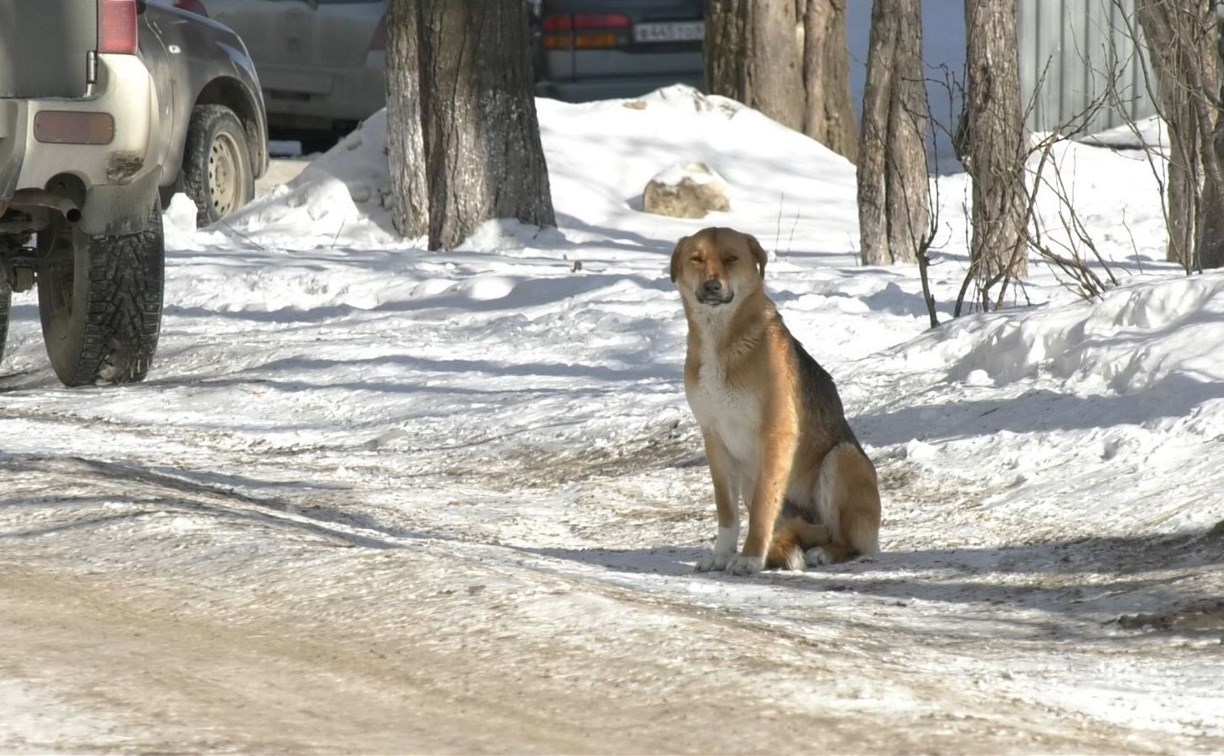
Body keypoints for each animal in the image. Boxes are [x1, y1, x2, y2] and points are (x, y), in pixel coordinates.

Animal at [670, 226, 881, 574]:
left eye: (732, 258)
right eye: (696, 259)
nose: (712, 286)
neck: (722, 341)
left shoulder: (775, 435)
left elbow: (761, 510)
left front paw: (750, 557)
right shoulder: (715, 438)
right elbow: (726, 512)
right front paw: (723, 554)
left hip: (841, 458)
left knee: (848, 541)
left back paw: (823, 553)